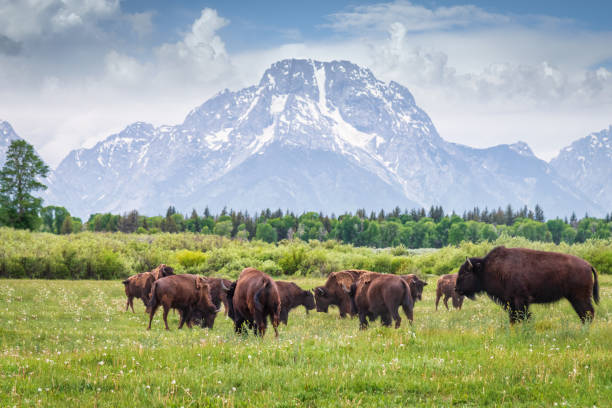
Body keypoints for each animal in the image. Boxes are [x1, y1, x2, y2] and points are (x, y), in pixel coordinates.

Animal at [456, 247, 600, 324]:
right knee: (585, 314)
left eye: (465, 274)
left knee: (588, 313)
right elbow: (514, 318)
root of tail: (588, 265)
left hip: (579, 297)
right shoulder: (510, 302)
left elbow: (523, 316)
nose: (456, 289)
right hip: (575, 299)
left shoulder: (521, 300)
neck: (486, 268)